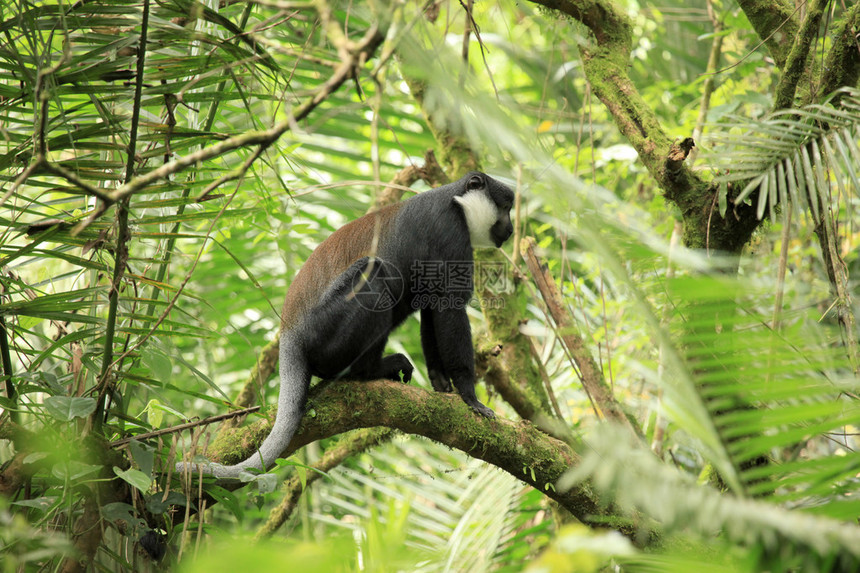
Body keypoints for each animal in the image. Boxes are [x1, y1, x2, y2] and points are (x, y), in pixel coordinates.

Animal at [174, 170, 510, 478]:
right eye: (505, 207)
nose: (509, 227)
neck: (456, 201)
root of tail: (289, 336)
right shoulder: (450, 232)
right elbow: (449, 306)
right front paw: (470, 397)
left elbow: (433, 308)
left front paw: (442, 385)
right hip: (325, 332)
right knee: (375, 272)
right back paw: (370, 370)